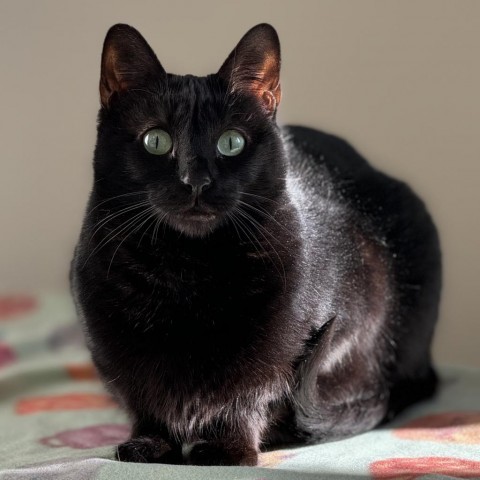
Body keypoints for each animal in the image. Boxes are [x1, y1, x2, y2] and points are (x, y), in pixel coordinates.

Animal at [69, 21, 440, 464]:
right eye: (155, 140)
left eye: (231, 142)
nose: (196, 181)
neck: (185, 272)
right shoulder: (114, 351)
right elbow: (146, 398)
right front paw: (150, 443)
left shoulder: (319, 329)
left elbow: (248, 394)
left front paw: (227, 448)